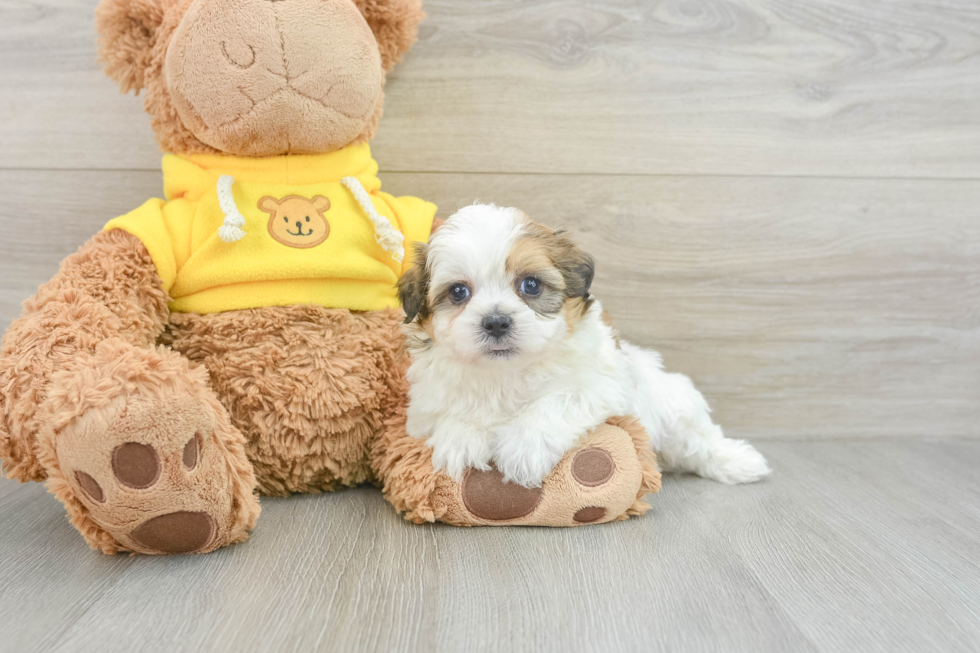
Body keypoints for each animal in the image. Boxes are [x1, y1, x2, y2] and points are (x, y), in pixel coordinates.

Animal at [398, 206, 772, 486]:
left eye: (531, 285)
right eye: (458, 292)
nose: (496, 321)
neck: (507, 372)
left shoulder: (601, 383)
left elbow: (556, 401)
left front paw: (524, 448)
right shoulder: (426, 406)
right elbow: (453, 412)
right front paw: (460, 438)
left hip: (672, 404)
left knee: (698, 441)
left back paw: (738, 461)